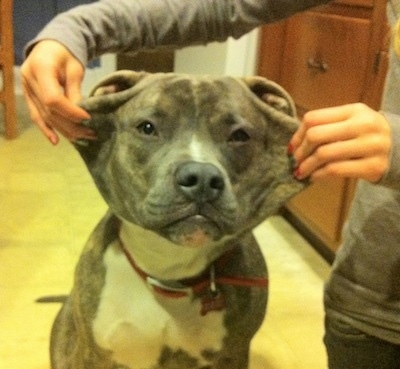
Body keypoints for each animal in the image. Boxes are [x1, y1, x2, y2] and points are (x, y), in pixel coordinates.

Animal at [50, 70, 306, 366]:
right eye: (147, 127)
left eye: (240, 135)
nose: (202, 179)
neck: (168, 271)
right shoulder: (96, 356)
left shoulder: (233, 354)